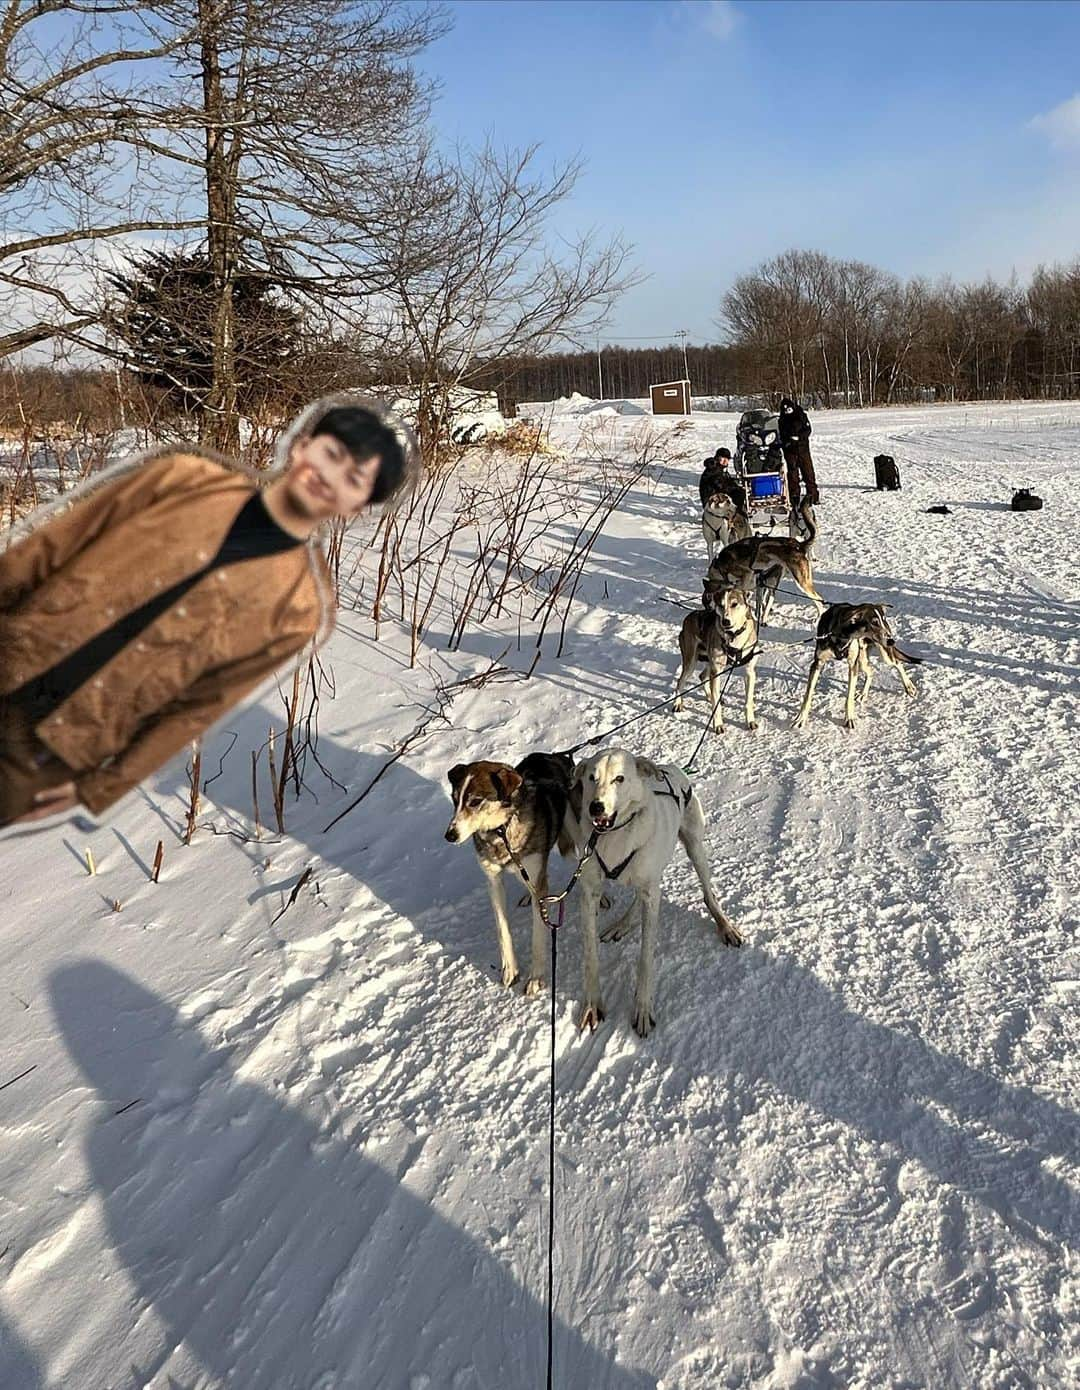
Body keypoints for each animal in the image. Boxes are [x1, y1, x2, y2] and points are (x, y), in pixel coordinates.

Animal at [564, 750, 739, 1034]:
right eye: (591, 777)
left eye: (619, 778)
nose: (595, 807)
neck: (616, 836)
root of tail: (673, 769)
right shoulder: (589, 895)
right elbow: (590, 957)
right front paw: (592, 1005)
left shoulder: (651, 893)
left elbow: (645, 959)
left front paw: (643, 1009)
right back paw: (622, 924)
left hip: (695, 849)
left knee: (708, 894)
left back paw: (725, 925)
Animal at [672, 583, 756, 733]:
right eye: (721, 605)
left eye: (734, 604)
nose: (725, 621)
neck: (733, 636)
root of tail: (689, 617)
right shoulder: (716, 672)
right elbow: (716, 706)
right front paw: (718, 725)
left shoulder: (749, 672)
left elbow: (748, 701)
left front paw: (750, 721)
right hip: (691, 662)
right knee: (680, 681)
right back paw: (678, 703)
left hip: (709, 663)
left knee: (702, 676)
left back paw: (709, 696)